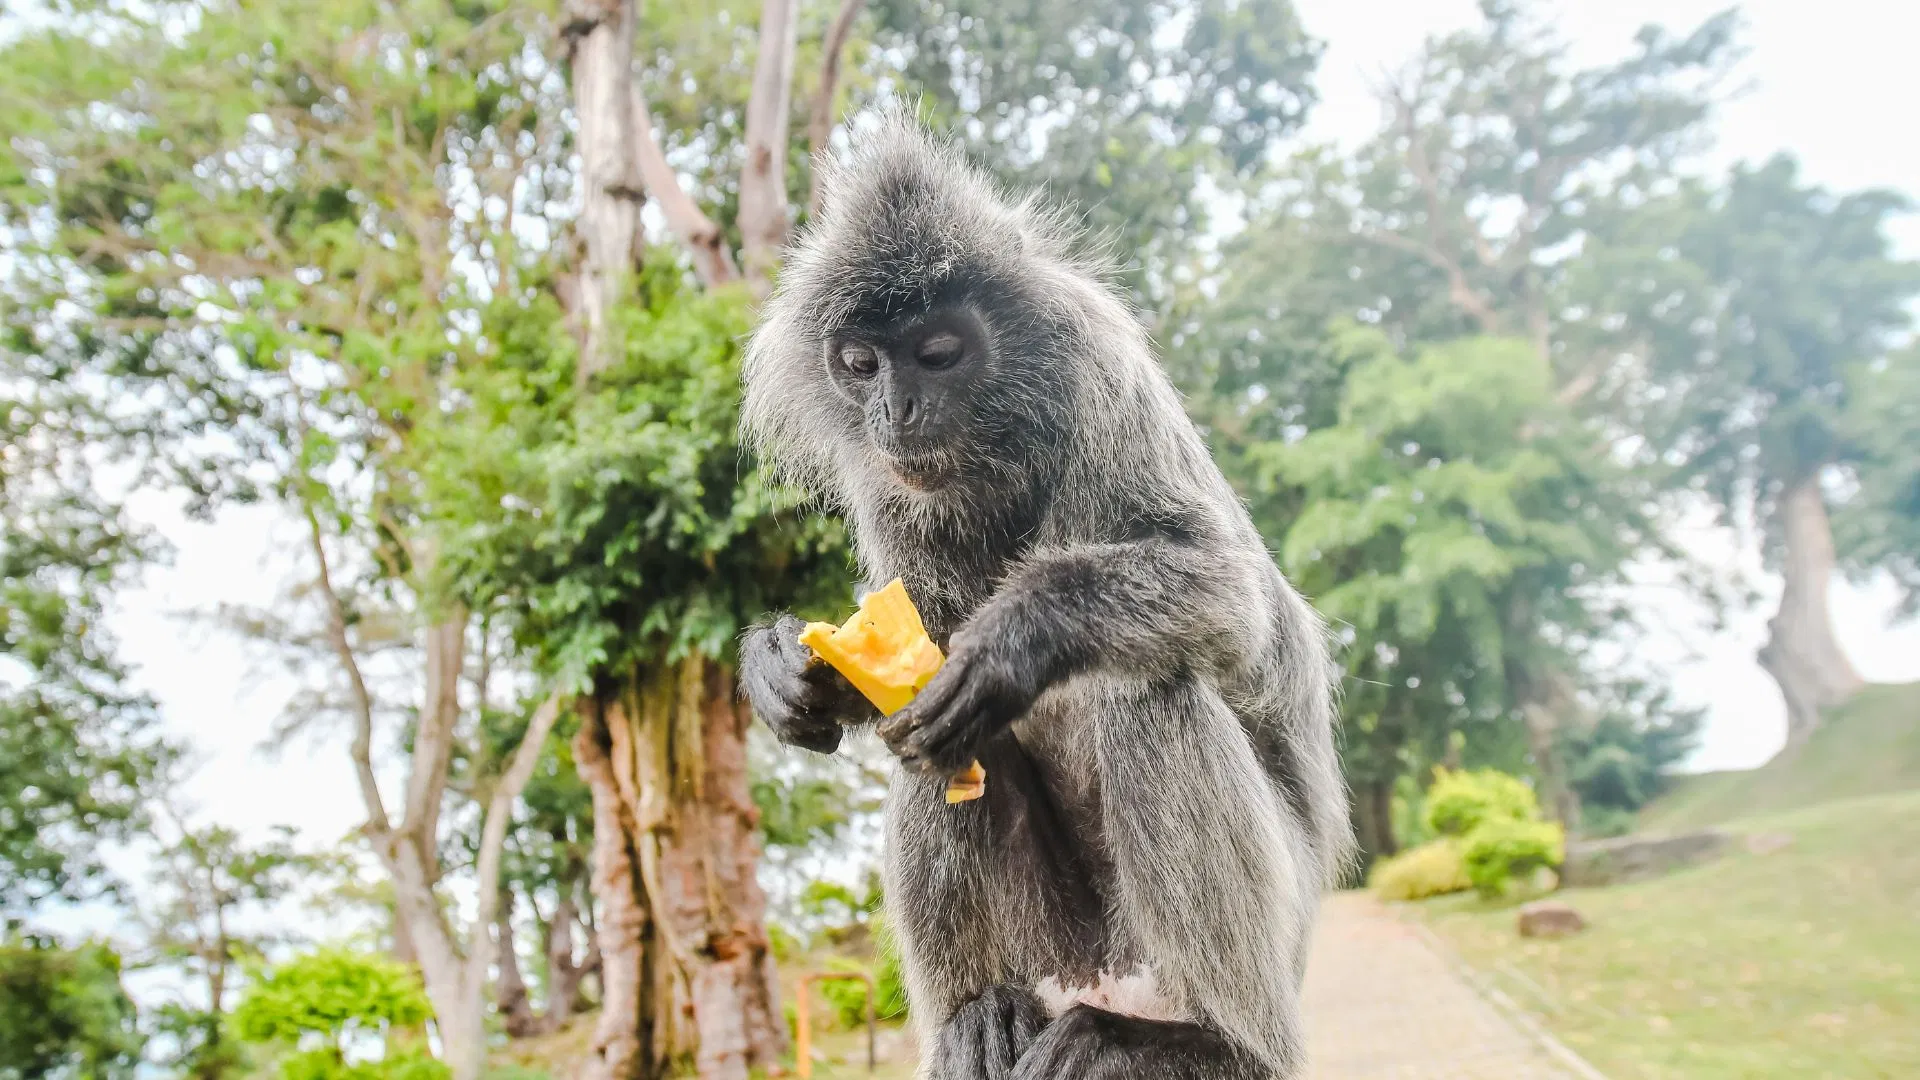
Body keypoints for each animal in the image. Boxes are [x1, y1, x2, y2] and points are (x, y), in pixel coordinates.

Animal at [737, 112, 1352, 1080]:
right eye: (860, 363)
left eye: (938, 354)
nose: (894, 412)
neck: (1000, 452)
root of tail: (1106, 976)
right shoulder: (891, 486)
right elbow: (913, 641)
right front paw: (792, 670)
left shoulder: (1098, 377)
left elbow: (1231, 592)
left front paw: (1014, 641)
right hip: (1057, 942)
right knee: (934, 746)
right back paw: (977, 1017)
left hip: (1261, 922)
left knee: (1151, 686)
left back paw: (1214, 1043)